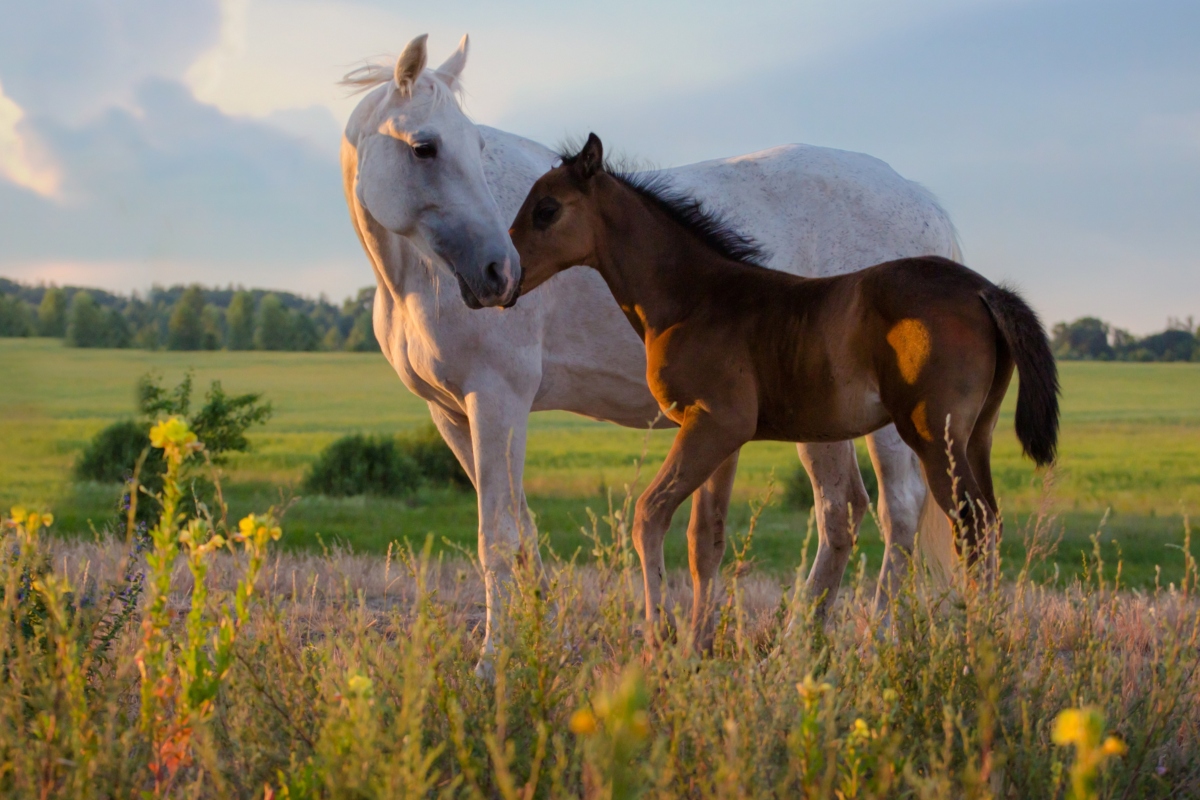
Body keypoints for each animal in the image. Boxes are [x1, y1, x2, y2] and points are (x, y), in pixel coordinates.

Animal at [343, 35, 960, 662]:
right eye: (425, 147)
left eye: (476, 145)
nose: (498, 274)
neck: (418, 274)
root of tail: (921, 201)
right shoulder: (450, 413)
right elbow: (523, 528)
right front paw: (544, 639)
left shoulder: (496, 401)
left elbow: (496, 535)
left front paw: (493, 662)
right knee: (841, 511)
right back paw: (793, 648)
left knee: (897, 509)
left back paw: (878, 643)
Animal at [506, 134, 1060, 647]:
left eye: (546, 209)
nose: (502, 277)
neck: (694, 298)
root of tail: (985, 290)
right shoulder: (719, 434)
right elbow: (704, 538)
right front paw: (695, 647)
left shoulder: (716, 423)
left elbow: (649, 513)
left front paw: (659, 641)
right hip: (976, 435)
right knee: (990, 521)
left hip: (931, 433)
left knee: (969, 522)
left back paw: (971, 647)